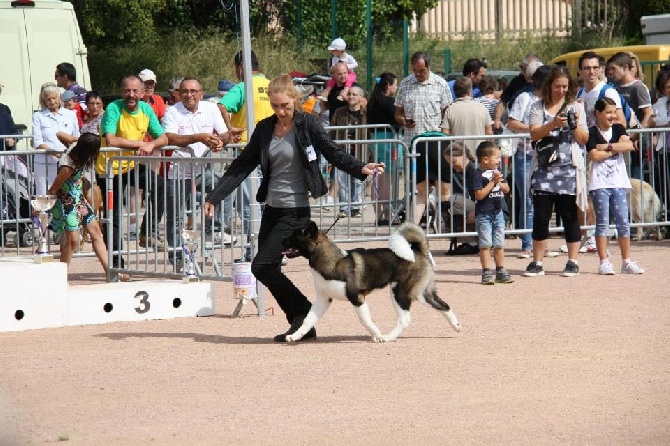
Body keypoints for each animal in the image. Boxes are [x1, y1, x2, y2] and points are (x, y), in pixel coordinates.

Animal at [282, 221, 462, 344]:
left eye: (293, 236)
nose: (281, 240)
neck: (333, 262)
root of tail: (418, 251)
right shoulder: (323, 299)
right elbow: (308, 320)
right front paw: (295, 336)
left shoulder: (357, 298)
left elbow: (366, 320)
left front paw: (377, 335)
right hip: (422, 293)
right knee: (443, 305)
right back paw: (456, 326)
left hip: (400, 292)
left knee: (405, 319)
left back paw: (388, 337)